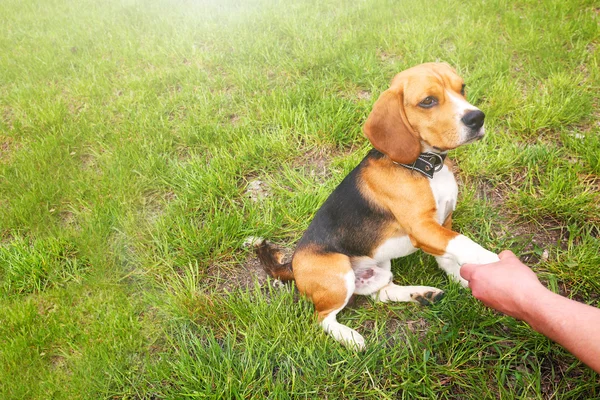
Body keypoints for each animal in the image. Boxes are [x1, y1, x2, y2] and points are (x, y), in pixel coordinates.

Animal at [254, 62, 502, 350]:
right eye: (428, 101)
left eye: (462, 88)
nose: (477, 118)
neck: (425, 167)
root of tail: (292, 265)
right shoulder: (423, 227)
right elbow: (463, 242)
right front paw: (493, 261)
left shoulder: (443, 223)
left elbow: (449, 255)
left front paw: (460, 278)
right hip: (339, 275)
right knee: (321, 317)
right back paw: (350, 337)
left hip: (381, 264)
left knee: (381, 294)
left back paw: (421, 294)